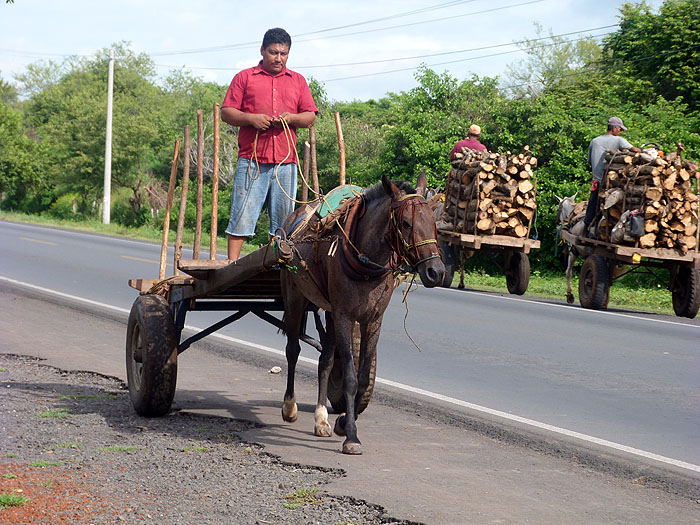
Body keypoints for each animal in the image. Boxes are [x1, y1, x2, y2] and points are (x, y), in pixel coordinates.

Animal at [278, 174, 442, 452]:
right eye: (406, 223)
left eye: (433, 222)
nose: (436, 271)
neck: (365, 260)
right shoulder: (345, 316)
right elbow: (350, 378)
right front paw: (351, 435)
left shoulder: (373, 320)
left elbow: (362, 378)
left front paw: (343, 422)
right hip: (295, 297)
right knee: (293, 350)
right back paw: (290, 407)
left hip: (330, 312)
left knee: (326, 360)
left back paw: (321, 418)